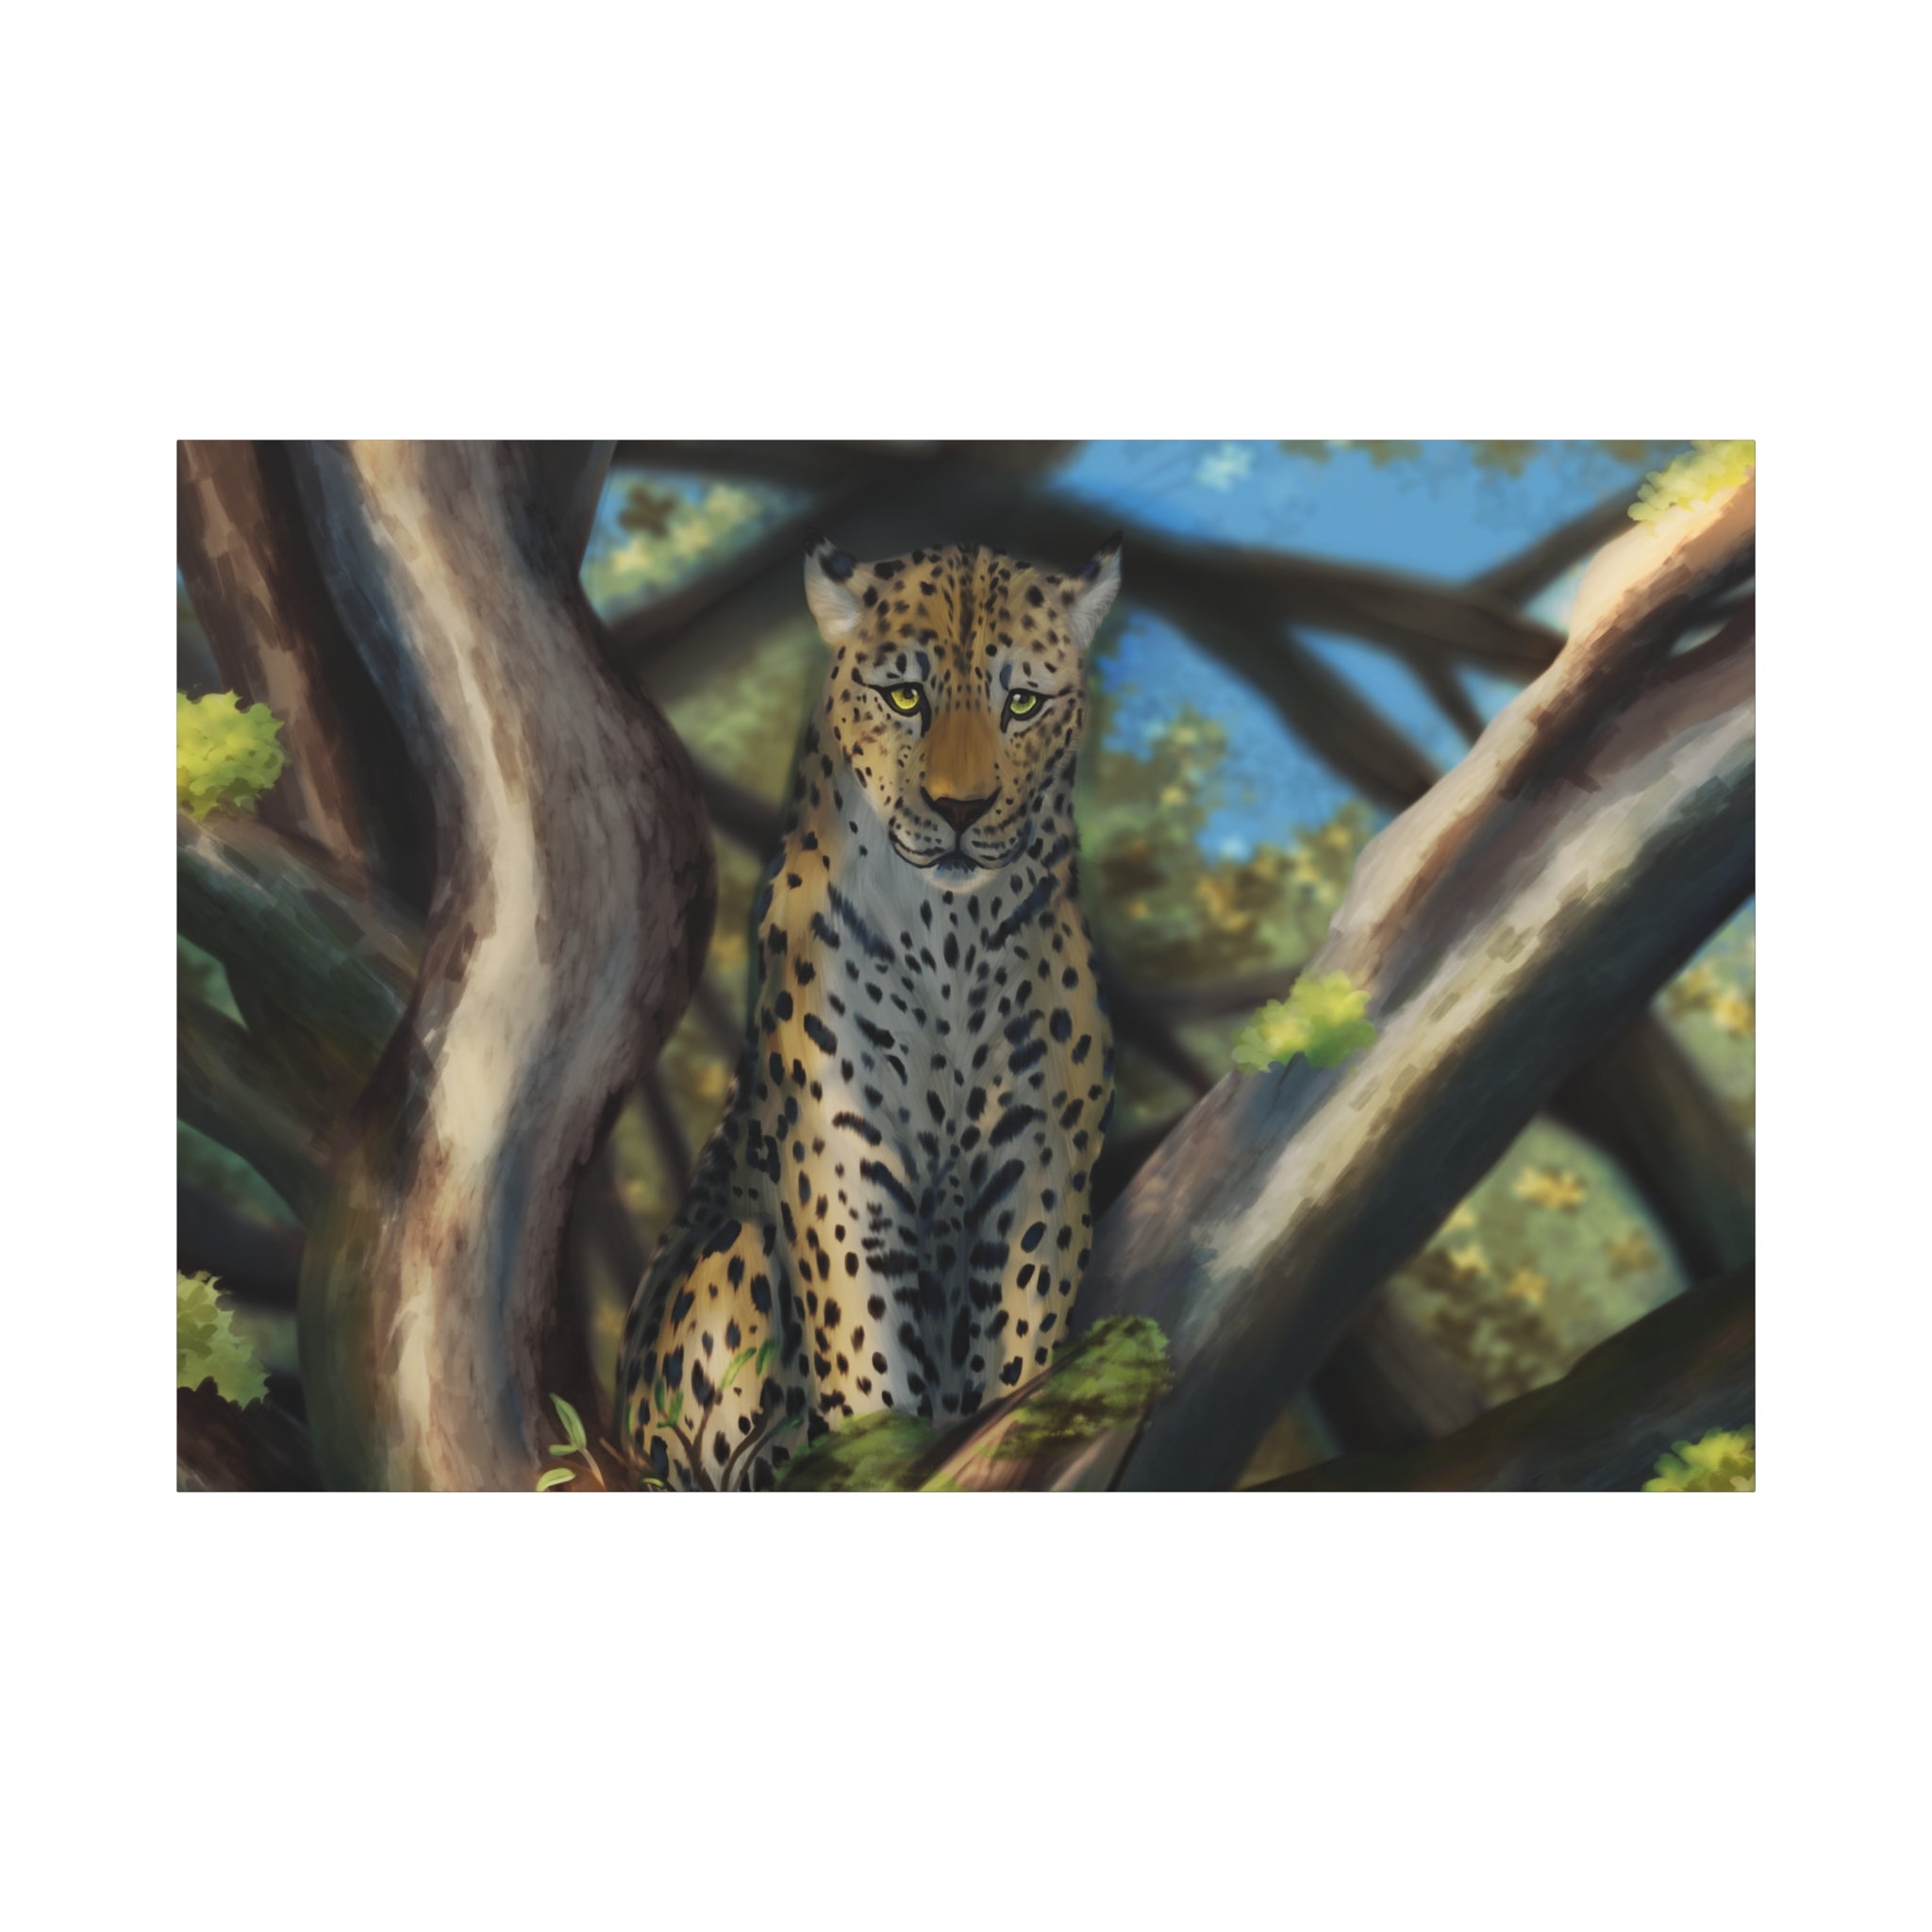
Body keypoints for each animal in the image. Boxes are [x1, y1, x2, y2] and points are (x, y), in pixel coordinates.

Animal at [617, 531, 1122, 1490]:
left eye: (1024, 704)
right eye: (904, 696)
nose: (960, 810)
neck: (951, 935)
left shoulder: (1039, 1156)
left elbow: (1021, 1339)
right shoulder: (843, 1156)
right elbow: (866, 1353)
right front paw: (886, 1449)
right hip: (728, 1265)